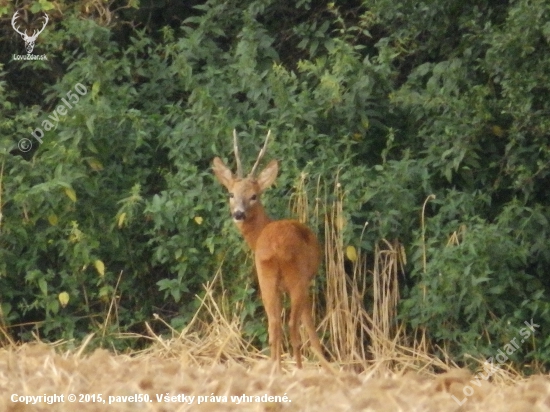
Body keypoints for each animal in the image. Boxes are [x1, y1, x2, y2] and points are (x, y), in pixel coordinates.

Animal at [213, 130, 328, 370]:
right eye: (231, 194)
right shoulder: (306, 280)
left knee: (274, 324)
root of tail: (275, 248)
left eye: (253, 196)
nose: (238, 213)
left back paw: (276, 368)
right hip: (296, 278)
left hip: (265, 276)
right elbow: (309, 327)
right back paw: (297, 368)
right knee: (292, 326)